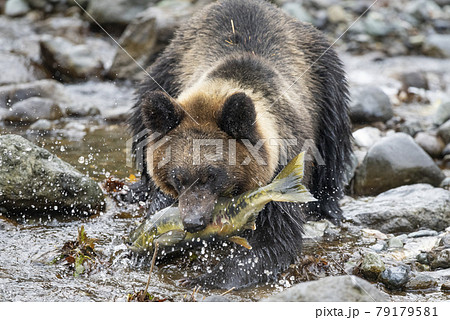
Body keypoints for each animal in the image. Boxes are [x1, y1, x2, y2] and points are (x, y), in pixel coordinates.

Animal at [125, 0, 352, 288]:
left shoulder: (277, 173)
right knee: (142, 116)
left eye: (212, 175)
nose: (193, 222)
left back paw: (328, 207)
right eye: (177, 177)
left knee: (333, 146)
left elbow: (274, 239)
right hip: (168, 67)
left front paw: (206, 278)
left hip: (326, 83)